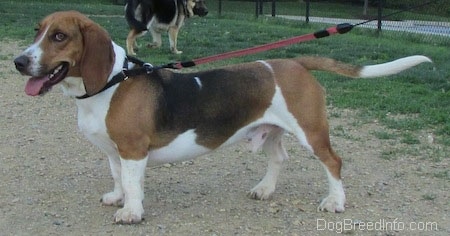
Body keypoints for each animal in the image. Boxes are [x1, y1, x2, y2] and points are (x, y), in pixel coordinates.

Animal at [12, 10, 430, 223]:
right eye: (37, 31)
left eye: (60, 37)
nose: (18, 62)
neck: (112, 81)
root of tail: (294, 62)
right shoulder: (115, 152)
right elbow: (118, 178)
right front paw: (117, 198)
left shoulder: (132, 150)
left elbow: (133, 184)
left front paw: (131, 211)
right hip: (271, 129)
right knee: (279, 159)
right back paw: (265, 190)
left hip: (311, 131)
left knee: (333, 162)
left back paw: (335, 202)